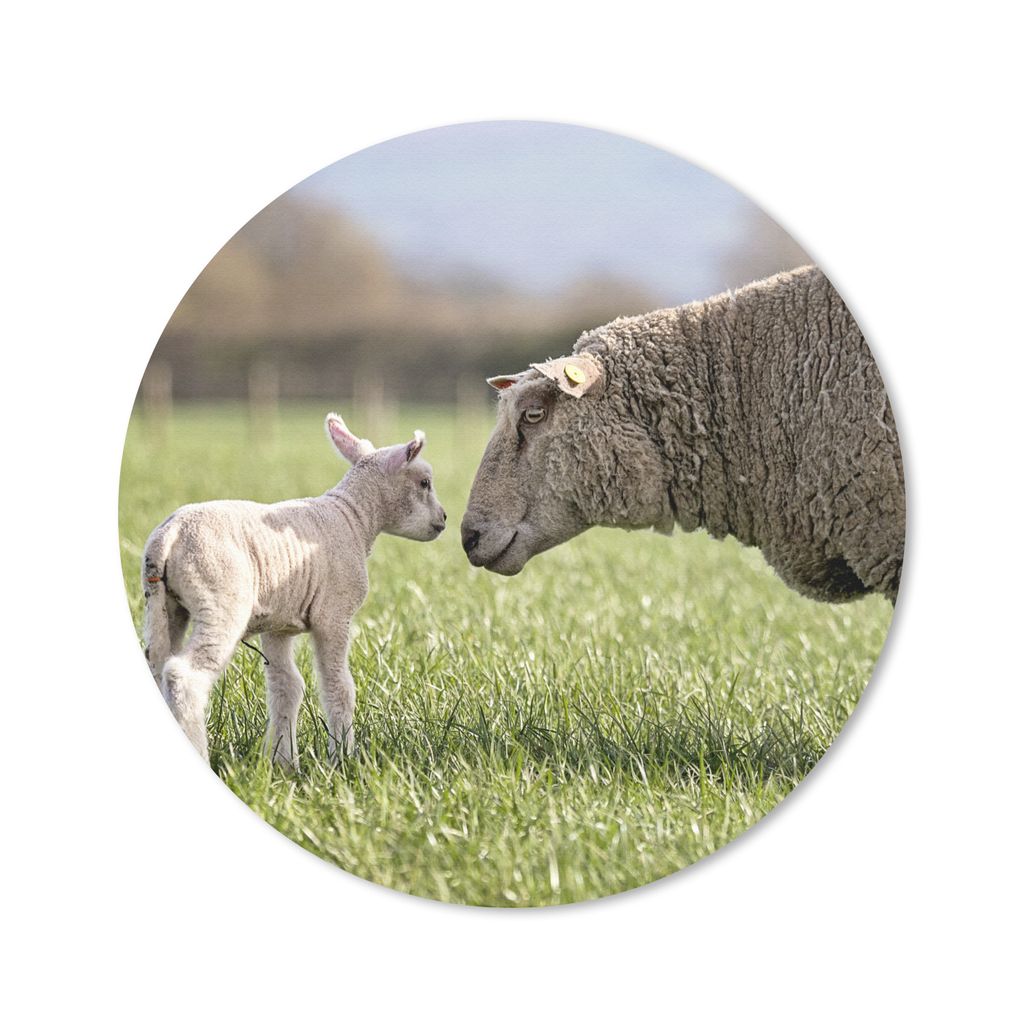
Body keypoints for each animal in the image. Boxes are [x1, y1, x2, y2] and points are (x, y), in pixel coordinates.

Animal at [141, 413, 447, 767]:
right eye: (424, 483)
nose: (444, 519)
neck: (354, 518)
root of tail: (169, 536)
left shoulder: (278, 624)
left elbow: (287, 687)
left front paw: (284, 762)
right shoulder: (334, 615)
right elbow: (338, 686)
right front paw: (342, 759)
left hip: (164, 606)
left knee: (157, 665)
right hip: (220, 600)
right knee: (184, 676)